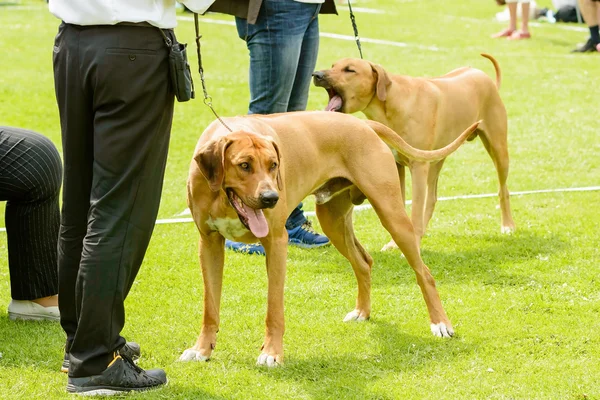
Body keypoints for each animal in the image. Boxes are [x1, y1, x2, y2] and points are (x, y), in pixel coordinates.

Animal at [178, 111, 478, 368]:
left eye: (274, 165)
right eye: (244, 165)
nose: (271, 198)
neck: (221, 196)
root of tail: (364, 124)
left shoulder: (276, 242)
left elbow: (274, 309)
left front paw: (272, 353)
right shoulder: (209, 244)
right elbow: (210, 307)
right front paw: (202, 349)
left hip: (391, 213)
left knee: (424, 272)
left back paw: (440, 323)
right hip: (332, 220)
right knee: (364, 262)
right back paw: (362, 312)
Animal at [314, 54, 516, 252]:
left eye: (350, 70)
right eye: (333, 65)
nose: (316, 75)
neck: (391, 104)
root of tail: (484, 76)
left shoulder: (418, 166)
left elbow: (415, 211)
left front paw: (413, 243)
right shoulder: (395, 166)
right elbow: (401, 207)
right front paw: (395, 243)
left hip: (498, 150)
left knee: (503, 189)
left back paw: (507, 225)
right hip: (438, 158)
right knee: (432, 198)